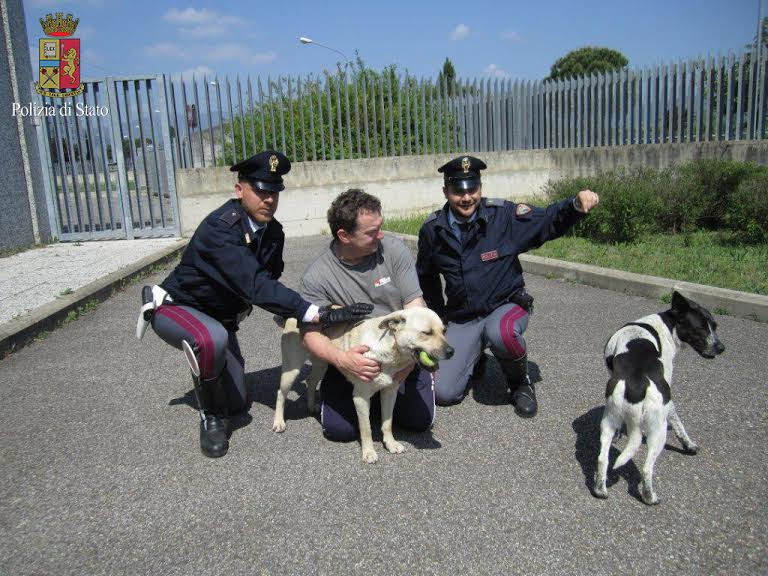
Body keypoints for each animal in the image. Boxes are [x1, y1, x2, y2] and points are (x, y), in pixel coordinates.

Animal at [273, 307, 454, 463]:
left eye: (444, 330)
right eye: (427, 333)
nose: (452, 352)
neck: (389, 349)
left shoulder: (390, 392)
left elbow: (387, 423)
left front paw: (390, 443)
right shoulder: (360, 398)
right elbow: (366, 429)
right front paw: (368, 452)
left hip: (321, 363)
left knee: (310, 381)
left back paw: (311, 406)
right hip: (292, 369)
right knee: (281, 393)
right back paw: (279, 422)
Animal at [592, 291, 725, 505]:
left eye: (714, 326)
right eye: (701, 328)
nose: (721, 348)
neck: (665, 324)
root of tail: (637, 381)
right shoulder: (668, 398)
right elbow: (678, 423)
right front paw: (689, 445)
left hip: (607, 422)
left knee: (603, 458)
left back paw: (600, 489)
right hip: (658, 431)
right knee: (647, 467)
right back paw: (650, 497)